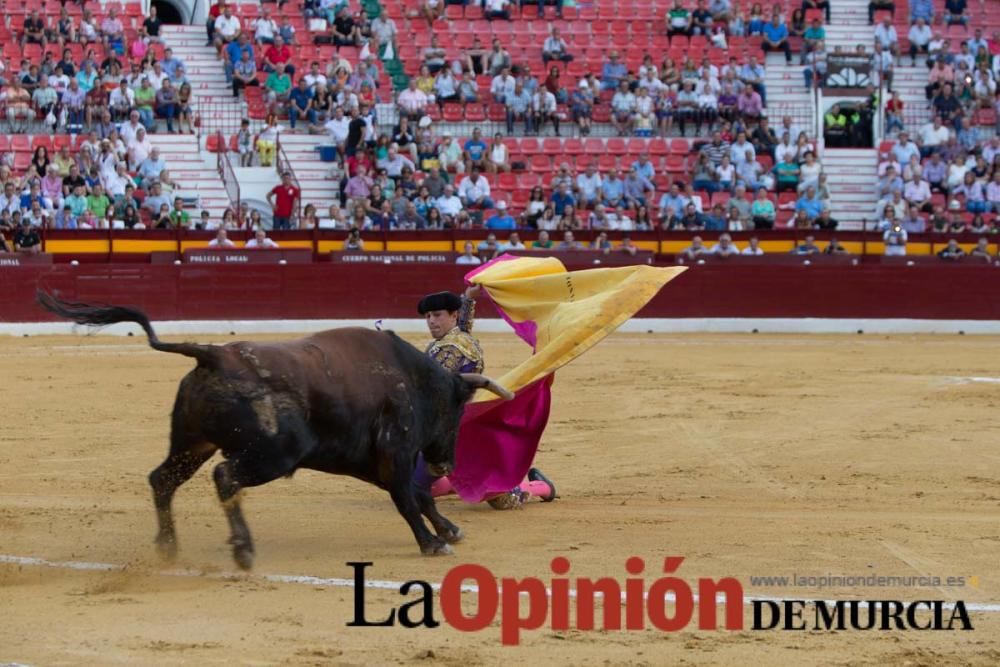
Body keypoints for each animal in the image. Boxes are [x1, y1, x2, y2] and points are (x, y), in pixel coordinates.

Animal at [37, 292, 516, 568]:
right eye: (456, 413)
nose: (445, 464)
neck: (412, 378)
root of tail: (212, 354)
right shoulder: (393, 452)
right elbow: (406, 498)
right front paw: (432, 543)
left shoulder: (368, 459)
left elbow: (415, 495)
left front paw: (449, 531)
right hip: (275, 453)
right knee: (225, 476)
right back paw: (242, 549)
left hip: (194, 442)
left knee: (162, 479)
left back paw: (168, 547)